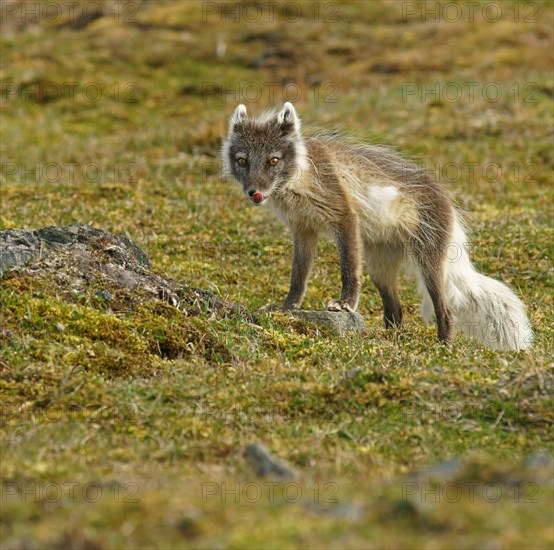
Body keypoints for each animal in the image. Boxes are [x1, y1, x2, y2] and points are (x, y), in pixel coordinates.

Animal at [220, 102, 532, 354]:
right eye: (243, 161)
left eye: (273, 160)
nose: (254, 193)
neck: (301, 176)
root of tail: (447, 200)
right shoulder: (303, 229)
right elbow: (299, 276)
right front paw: (288, 307)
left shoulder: (344, 216)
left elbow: (348, 268)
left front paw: (345, 303)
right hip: (379, 267)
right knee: (396, 312)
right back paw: (389, 342)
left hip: (428, 262)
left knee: (444, 311)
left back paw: (442, 348)